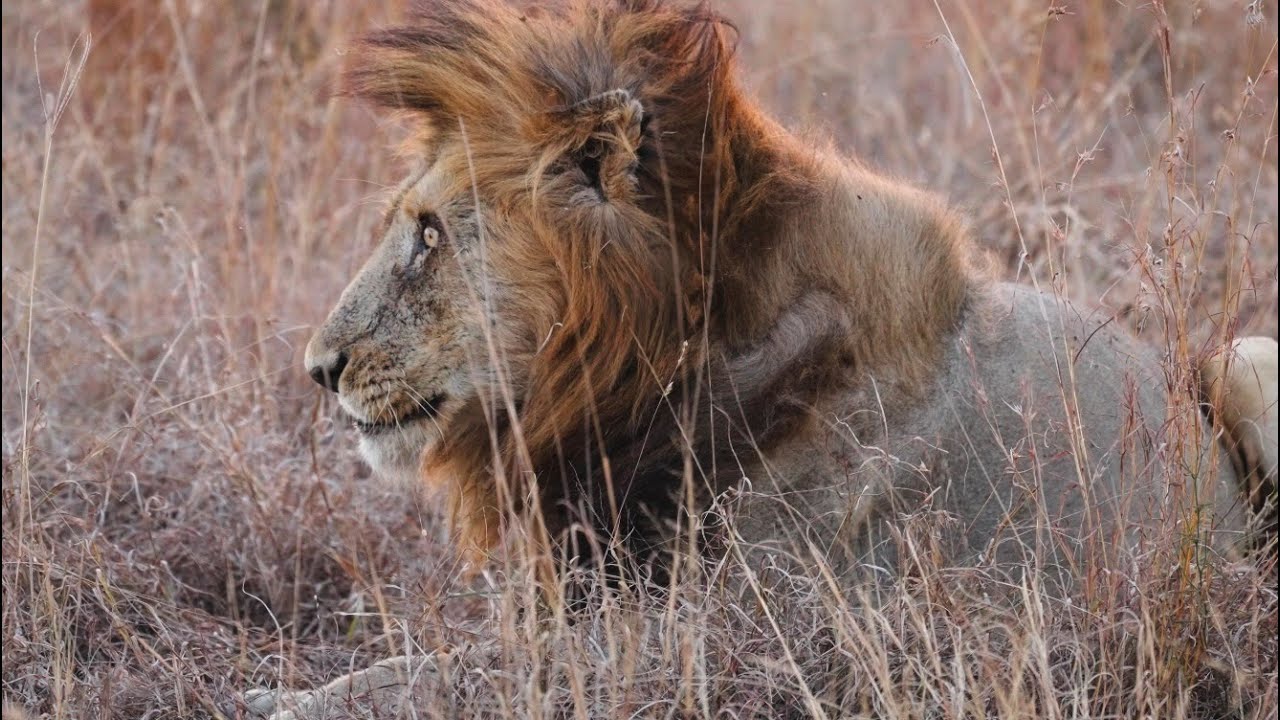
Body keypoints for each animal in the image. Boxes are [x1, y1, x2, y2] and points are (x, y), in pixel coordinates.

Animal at [248, 0, 1278, 716]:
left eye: (428, 235)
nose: (318, 367)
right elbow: (421, 658)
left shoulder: (720, 630)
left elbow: (460, 669)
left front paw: (283, 699)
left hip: (1250, 356)